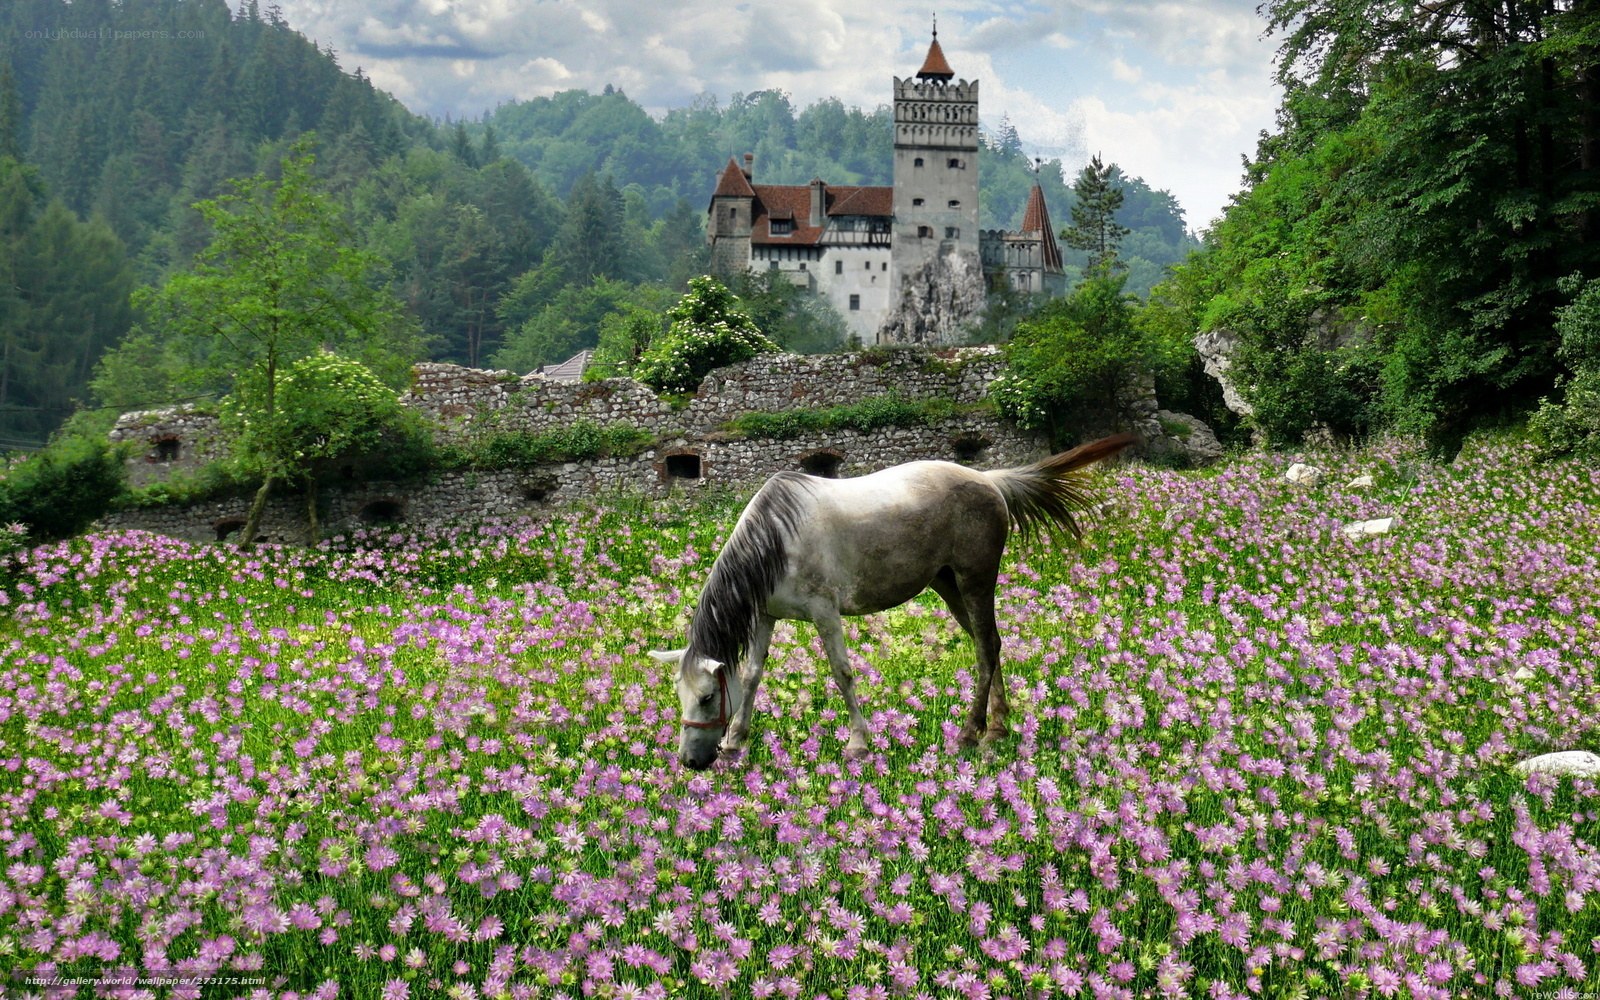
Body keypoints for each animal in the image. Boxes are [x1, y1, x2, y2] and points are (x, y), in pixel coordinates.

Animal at [651, 434, 1134, 770]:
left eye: (708, 697)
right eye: (681, 696)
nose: (691, 762)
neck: (776, 539)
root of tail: (989, 480)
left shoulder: (825, 613)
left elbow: (842, 673)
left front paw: (859, 744)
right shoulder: (766, 616)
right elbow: (752, 676)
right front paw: (737, 741)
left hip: (975, 581)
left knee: (986, 647)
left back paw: (970, 733)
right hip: (949, 587)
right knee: (990, 645)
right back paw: (997, 727)